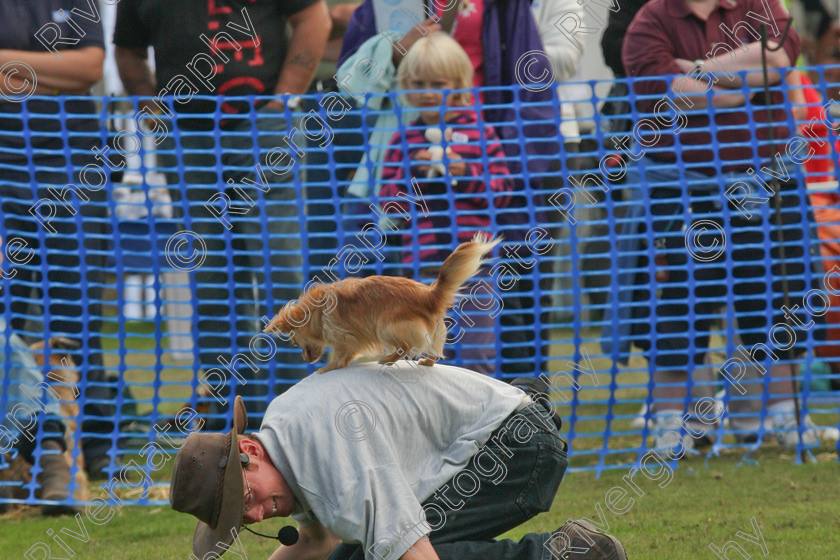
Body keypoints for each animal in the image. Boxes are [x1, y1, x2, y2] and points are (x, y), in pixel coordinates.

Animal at [264, 234, 498, 374]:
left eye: (295, 342)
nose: (305, 358)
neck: (317, 313)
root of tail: (429, 294)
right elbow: (347, 355)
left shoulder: (343, 336)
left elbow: (340, 355)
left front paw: (326, 368)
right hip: (431, 329)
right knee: (432, 349)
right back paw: (426, 361)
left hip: (385, 327)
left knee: (405, 346)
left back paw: (387, 359)